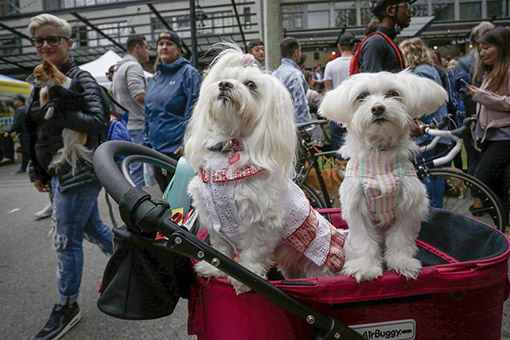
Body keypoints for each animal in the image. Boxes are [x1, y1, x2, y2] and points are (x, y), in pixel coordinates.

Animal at [184, 46, 346, 294]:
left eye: (251, 84)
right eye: (223, 77)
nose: (224, 85)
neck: (229, 146)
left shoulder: (260, 220)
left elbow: (253, 253)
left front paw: (244, 279)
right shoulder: (211, 215)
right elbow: (220, 250)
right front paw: (214, 268)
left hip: (318, 264)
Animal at [320, 71, 448, 282]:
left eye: (393, 93)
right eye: (362, 96)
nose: (378, 108)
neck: (380, 156)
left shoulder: (410, 206)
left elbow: (400, 239)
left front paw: (402, 263)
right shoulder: (356, 207)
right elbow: (364, 241)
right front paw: (365, 267)